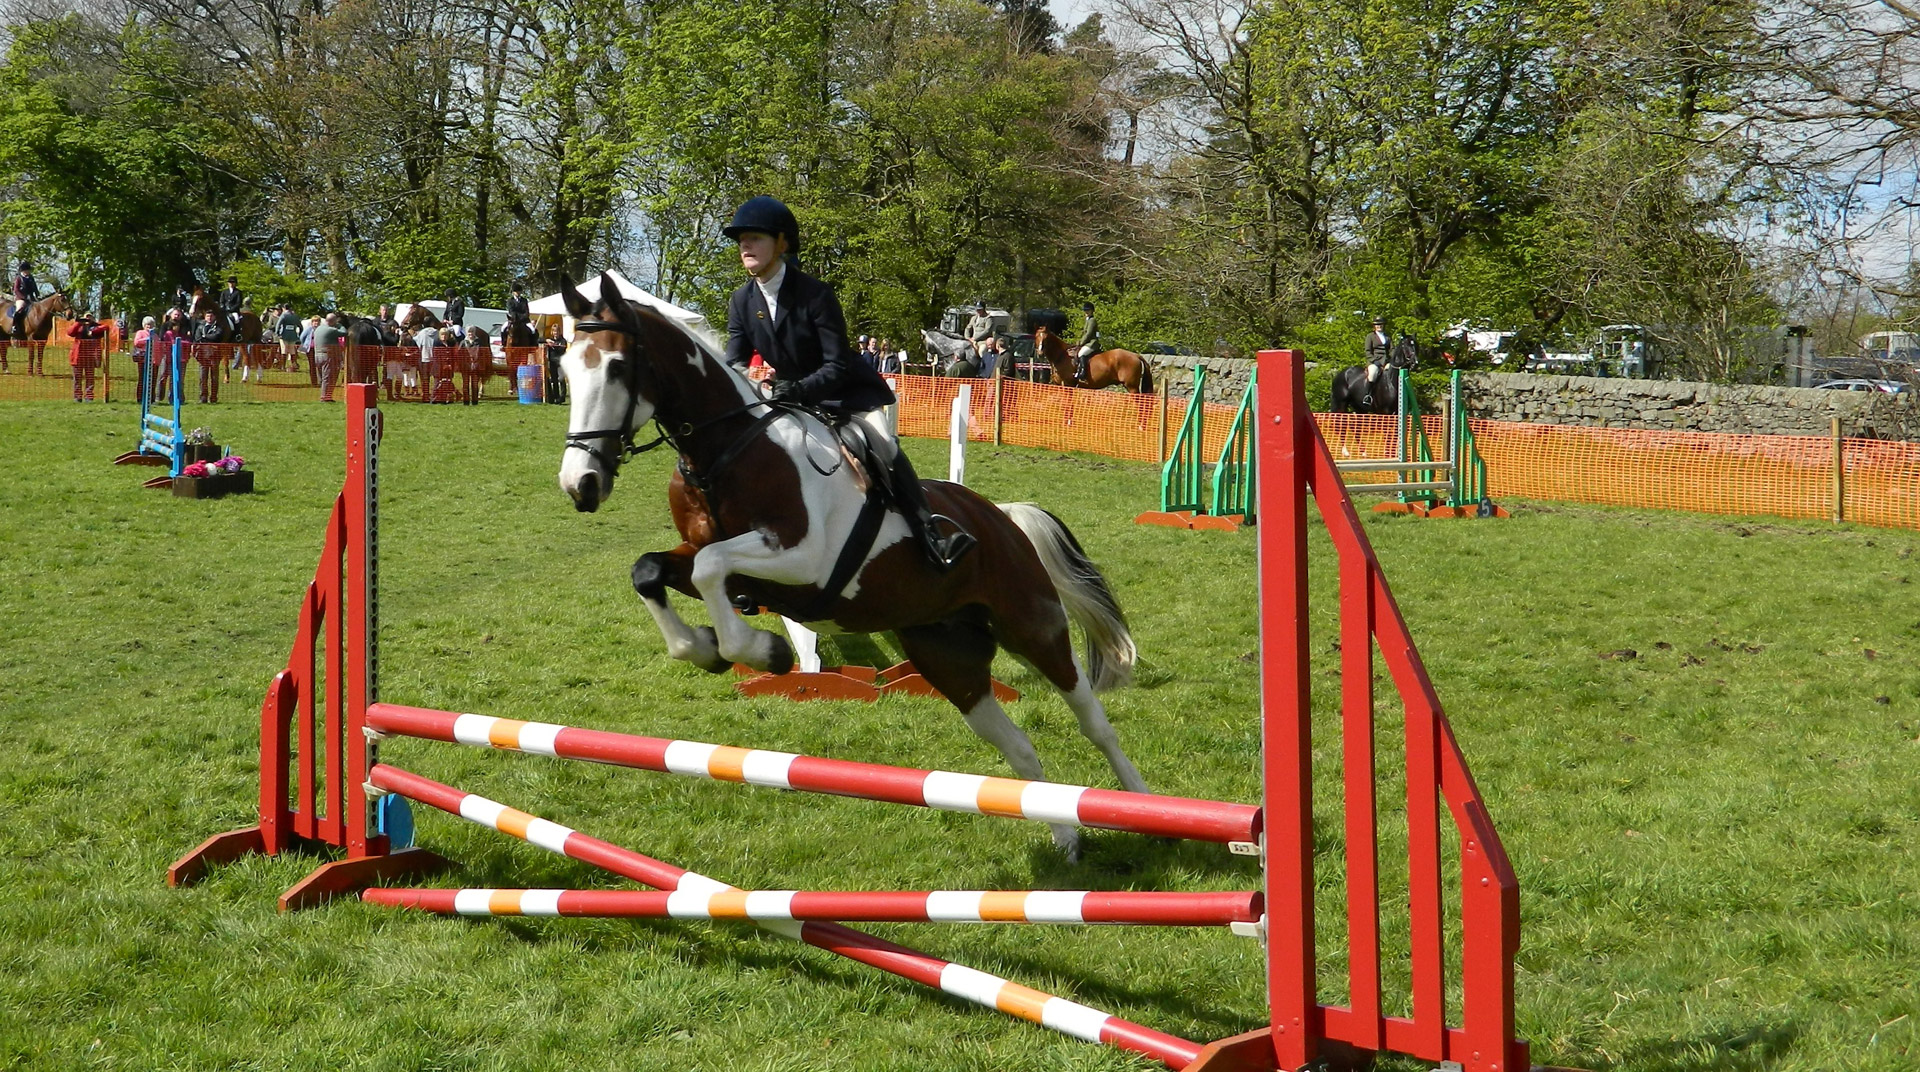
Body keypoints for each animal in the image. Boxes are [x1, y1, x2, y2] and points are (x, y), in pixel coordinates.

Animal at [560, 270, 1152, 864]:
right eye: (564, 368)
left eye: (617, 367)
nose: (579, 484)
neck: (726, 451)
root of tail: (1002, 518)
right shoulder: (722, 562)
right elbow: (652, 571)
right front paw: (710, 649)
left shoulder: (802, 559)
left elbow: (710, 567)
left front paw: (762, 651)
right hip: (948, 657)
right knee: (1018, 747)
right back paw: (1067, 839)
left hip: (1033, 626)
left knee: (1094, 721)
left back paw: (1142, 804)